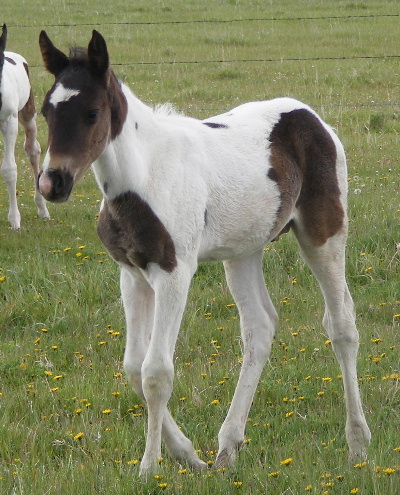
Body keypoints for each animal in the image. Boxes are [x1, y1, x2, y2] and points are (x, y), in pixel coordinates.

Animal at [37, 30, 372, 476]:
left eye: (92, 113)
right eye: (45, 111)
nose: (51, 183)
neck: (144, 177)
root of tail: (313, 118)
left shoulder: (173, 272)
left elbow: (156, 371)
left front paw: (150, 466)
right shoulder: (132, 273)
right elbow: (132, 367)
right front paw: (187, 454)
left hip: (324, 236)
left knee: (342, 325)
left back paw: (357, 444)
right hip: (243, 251)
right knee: (259, 328)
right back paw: (227, 447)